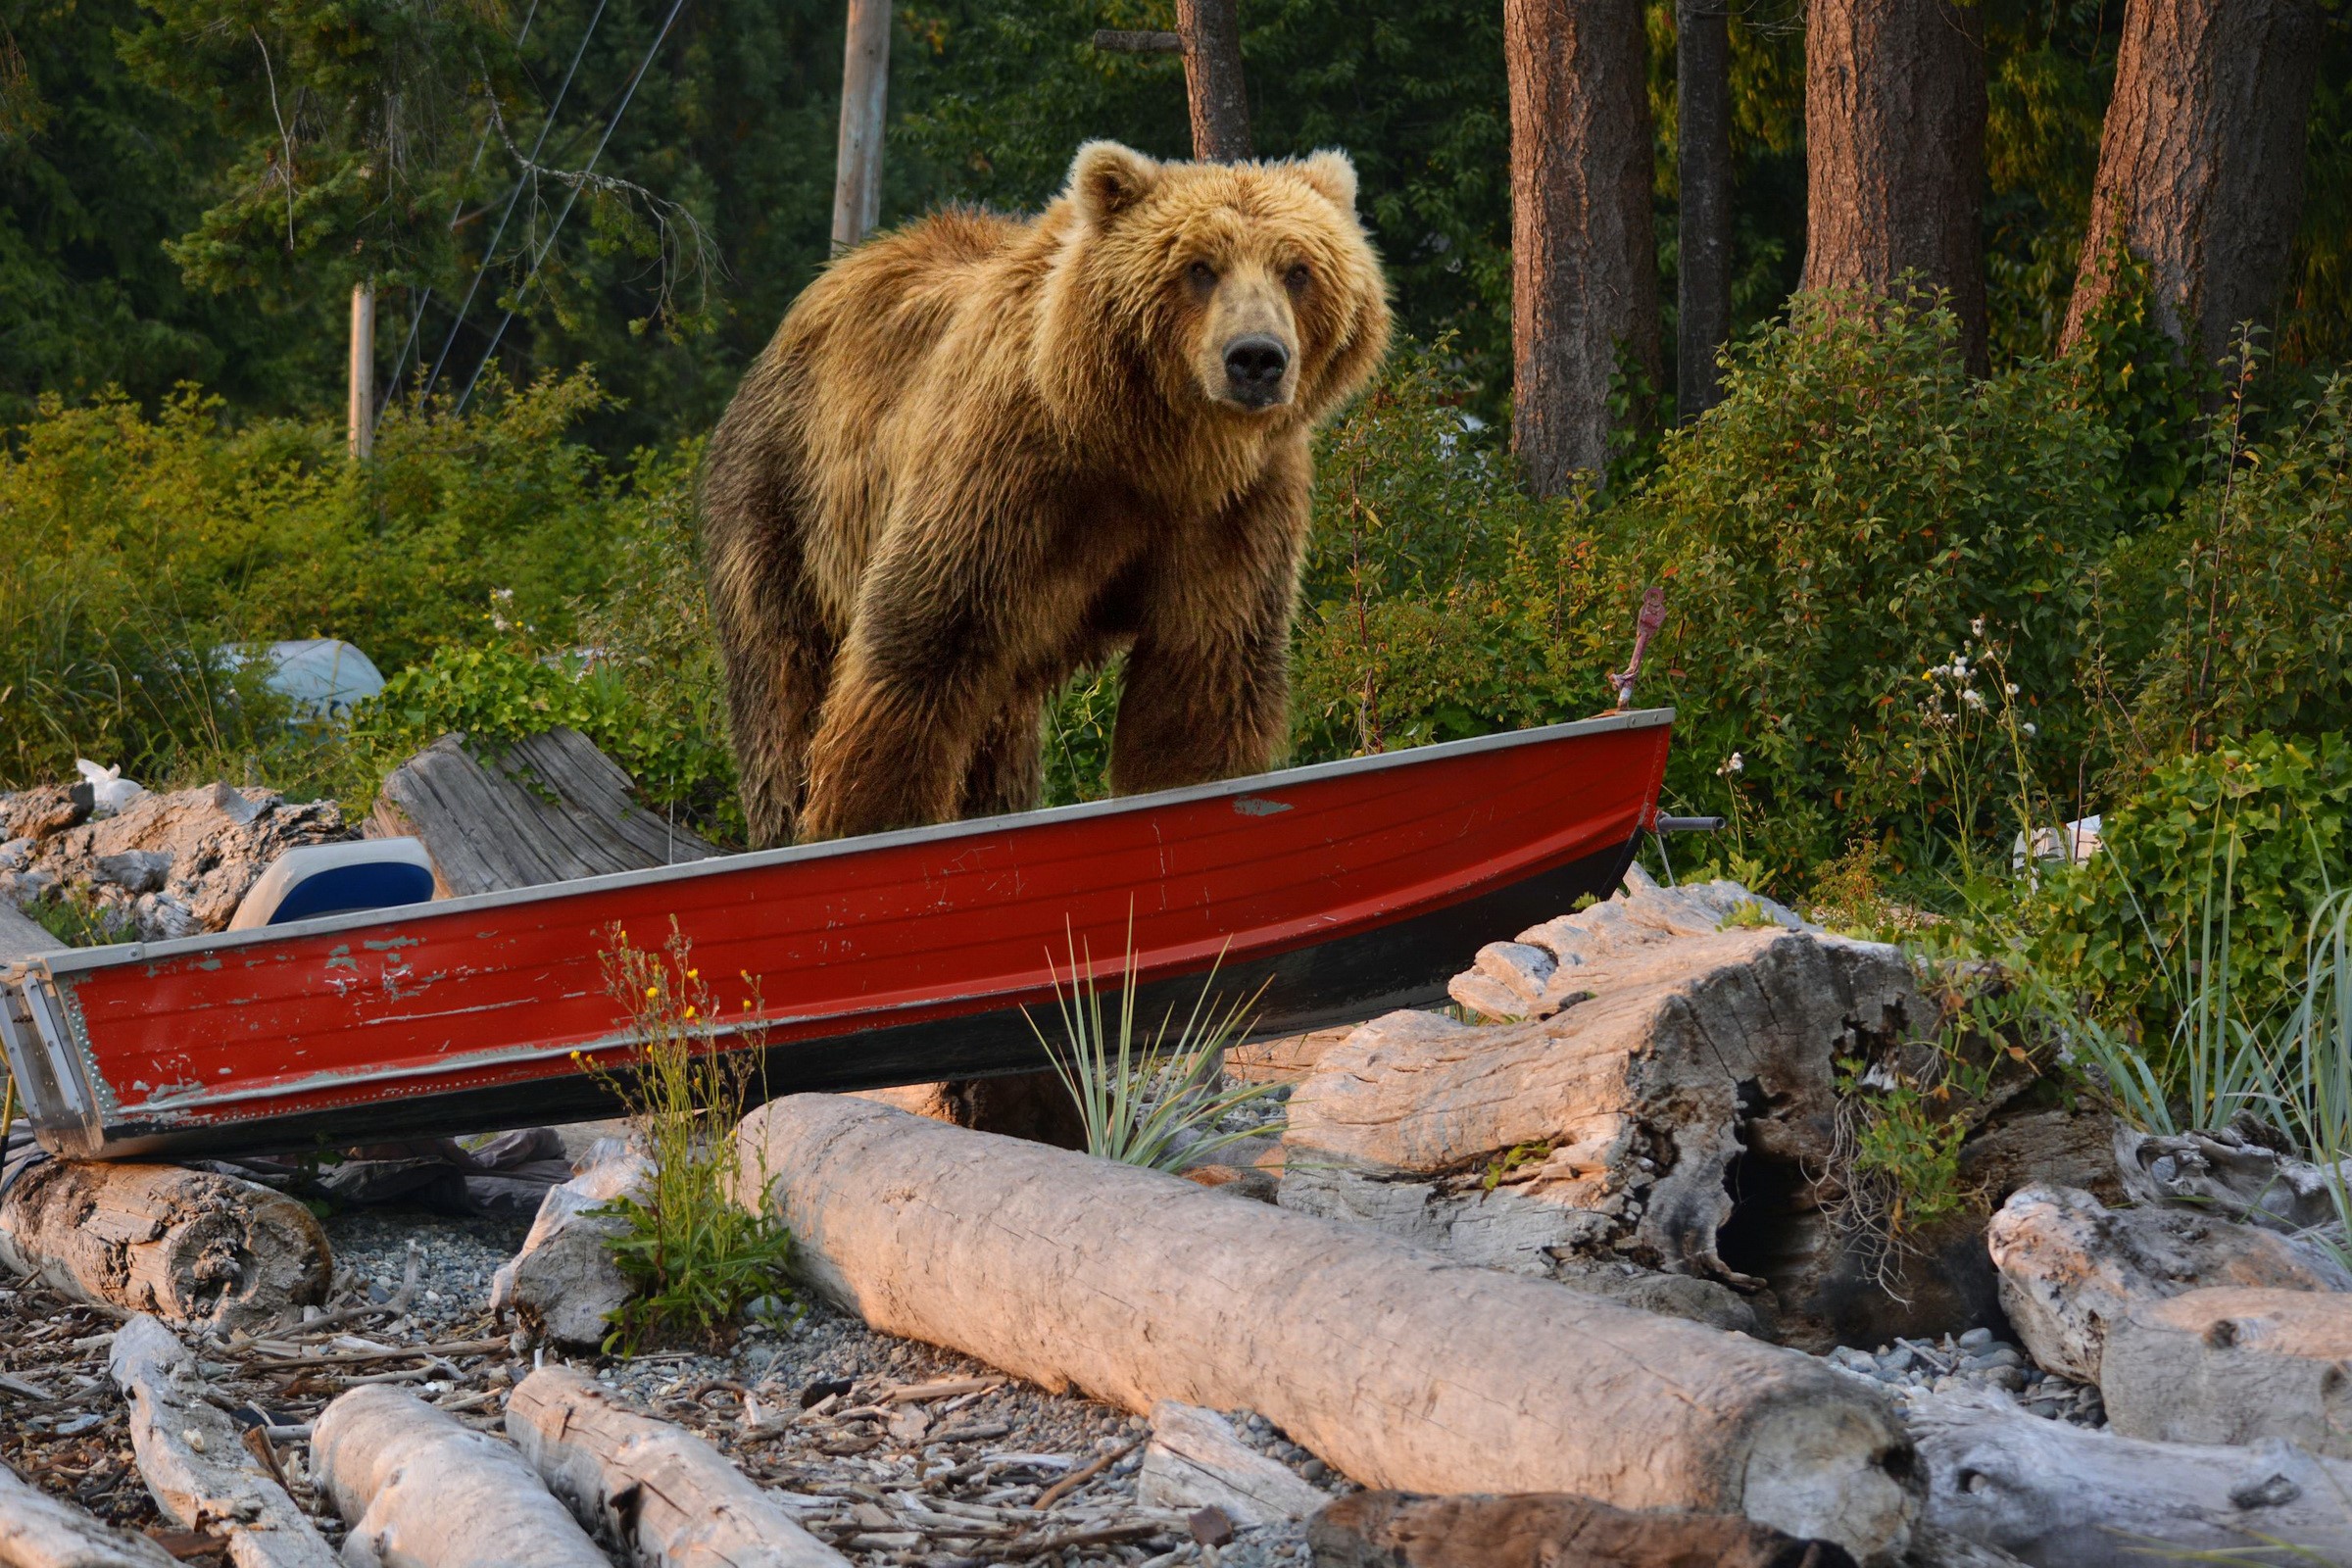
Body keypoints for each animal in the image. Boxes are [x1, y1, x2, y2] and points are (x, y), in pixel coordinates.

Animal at [700, 140, 1391, 847]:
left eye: (1298, 269)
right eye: (1199, 267)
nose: (1256, 358)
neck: (1154, 449)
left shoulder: (1234, 511)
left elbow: (1203, 675)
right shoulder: (1009, 476)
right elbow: (921, 644)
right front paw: (868, 821)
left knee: (998, 730)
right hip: (783, 497)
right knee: (782, 678)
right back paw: (782, 818)